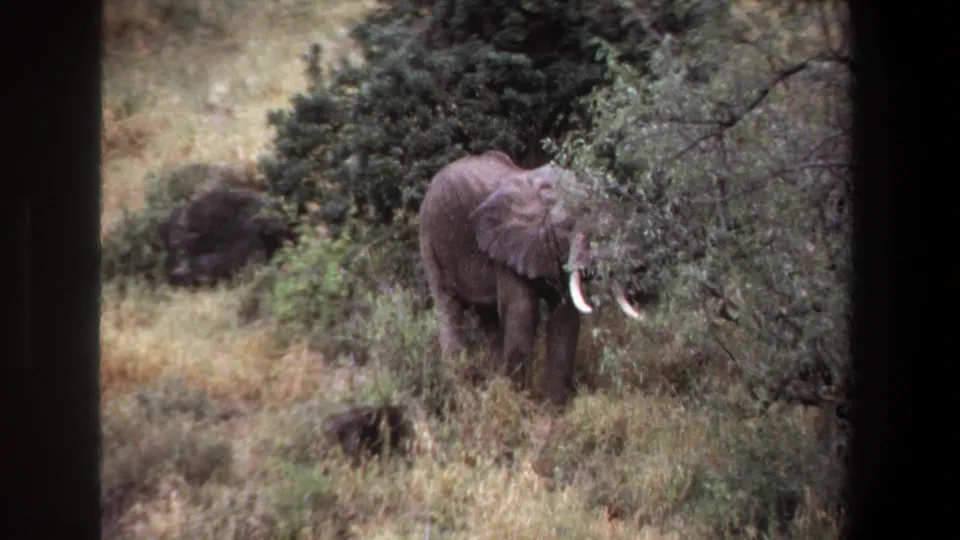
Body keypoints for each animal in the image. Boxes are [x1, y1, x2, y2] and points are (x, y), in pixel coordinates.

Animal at [418, 149, 644, 405]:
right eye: (569, 225)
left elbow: (565, 316)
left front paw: (553, 408)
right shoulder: (505, 248)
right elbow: (523, 311)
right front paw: (519, 402)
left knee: (489, 318)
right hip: (431, 239)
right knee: (448, 308)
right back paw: (459, 387)